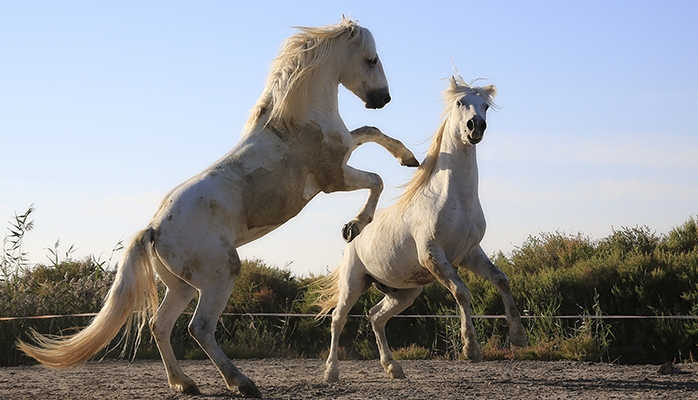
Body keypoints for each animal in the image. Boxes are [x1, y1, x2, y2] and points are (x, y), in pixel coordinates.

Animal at [17, 17, 418, 396]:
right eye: (371, 59)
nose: (382, 98)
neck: (295, 121)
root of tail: (154, 229)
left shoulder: (343, 154)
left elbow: (370, 132)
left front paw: (408, 158)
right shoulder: (333, 179)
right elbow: (376, 179)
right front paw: (355, 225)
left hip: (181, 287)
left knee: (160, 325)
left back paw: (185, 384)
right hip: (221, 274)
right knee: (200, 328)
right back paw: (241, 383)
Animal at [312, 76, 524, 384]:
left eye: (485, 106)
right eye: (460, 102)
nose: (476, 127)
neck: (455, 199)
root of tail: (352, 237)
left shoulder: (469, 254)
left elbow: (502, 280)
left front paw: (519, 337)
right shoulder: (433, 256)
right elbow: (462, 292)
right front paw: (471, 349)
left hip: (404, 292)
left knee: (376, 316)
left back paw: (393, 368)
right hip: (354, 282)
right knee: (338, 320)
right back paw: (331, 372)